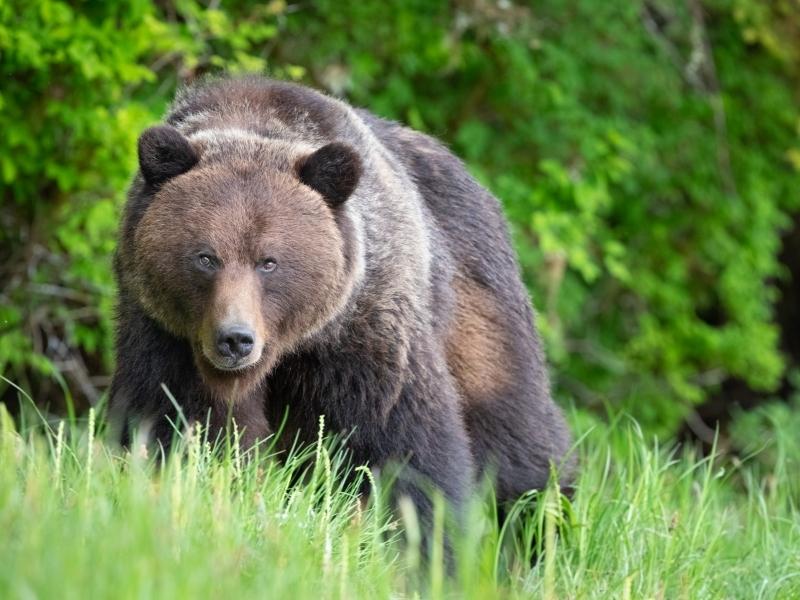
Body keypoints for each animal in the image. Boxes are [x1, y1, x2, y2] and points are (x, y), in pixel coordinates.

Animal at [111, 74, 576, 524]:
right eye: (206, 257)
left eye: (269, 261)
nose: (235, 339)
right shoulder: (165, 333)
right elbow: (180, 422)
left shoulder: (365, 326)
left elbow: (401, 443)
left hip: (478, 305)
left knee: (516, 436)